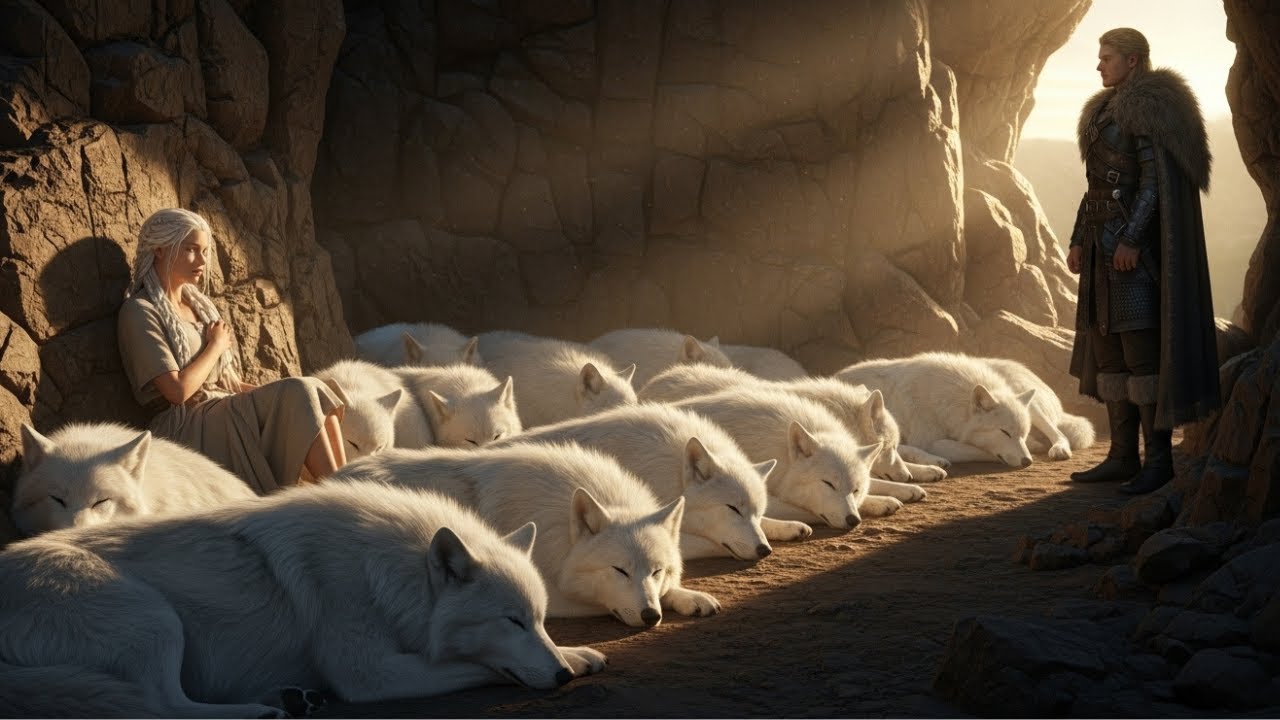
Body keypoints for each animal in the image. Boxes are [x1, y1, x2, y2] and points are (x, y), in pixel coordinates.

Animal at [0, 481, 606, 717]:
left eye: (539, 620)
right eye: (510, 621)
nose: (561, 679)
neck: (383, 572)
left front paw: (577, 655)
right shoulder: (370, 675)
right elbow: (476, 665)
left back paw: (289, 698)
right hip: (153, 620)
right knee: (161, 706)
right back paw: (261, 712)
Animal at [494, 403, 811, 560]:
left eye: (756, 512)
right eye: (732, 509)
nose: (764, 551)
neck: (665, 476)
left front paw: (789, 527)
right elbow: (705, 544)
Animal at [668, 388, 926, 531]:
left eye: (855, 489)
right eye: (828, 484)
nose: (853, 520)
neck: (777, 452)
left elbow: (874, 485)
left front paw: (906, 489)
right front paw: (886, 500)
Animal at [836, 352, 1070, 467]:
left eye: (1021, 432)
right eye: (1004, 432)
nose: (1027, 462)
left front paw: (1030, 444)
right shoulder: (930, 442)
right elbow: (974, 449)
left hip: (1026, 398)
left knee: (1059, 433)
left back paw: (1058, 448)